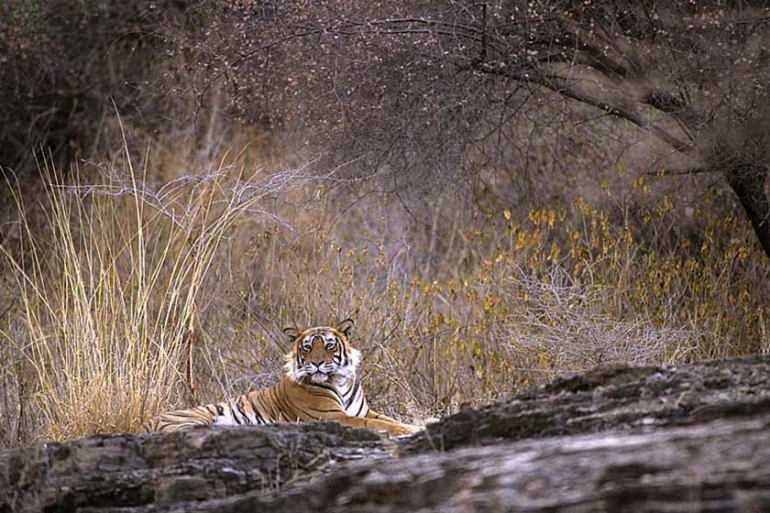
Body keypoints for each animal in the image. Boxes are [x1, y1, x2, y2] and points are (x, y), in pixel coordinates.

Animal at [142, 319, 420, 436]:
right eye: (307, 347)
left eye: (328, 345)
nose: (317, 363)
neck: (339, 380)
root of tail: (145, 421)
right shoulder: (333, 416)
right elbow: (377, 424)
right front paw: (412, 428)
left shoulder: (364, 411)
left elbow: (386, 419)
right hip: (193, 419)